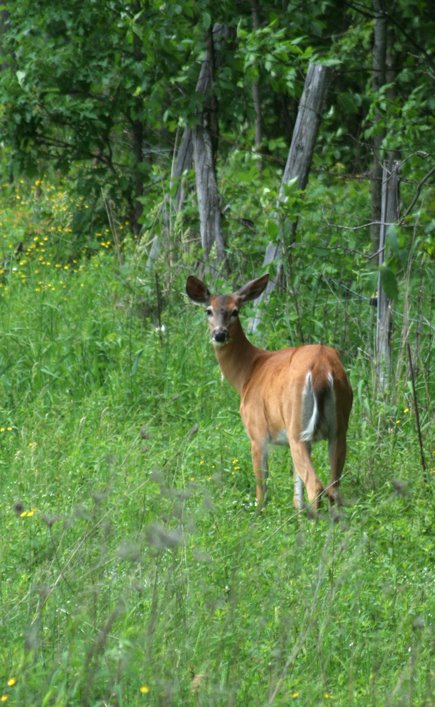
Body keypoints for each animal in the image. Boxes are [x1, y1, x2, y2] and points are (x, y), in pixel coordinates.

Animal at [186, 273, 353, 512]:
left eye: (235, 311)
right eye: (209, 310)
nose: (219, 334)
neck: (248, 372)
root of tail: (322, 368)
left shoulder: (257, 432)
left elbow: (261, 490)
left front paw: (258, 514)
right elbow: (296, 494)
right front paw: (298, 515)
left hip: (296, 427)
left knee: (316, 486)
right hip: (338, 428)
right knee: (334, 487)